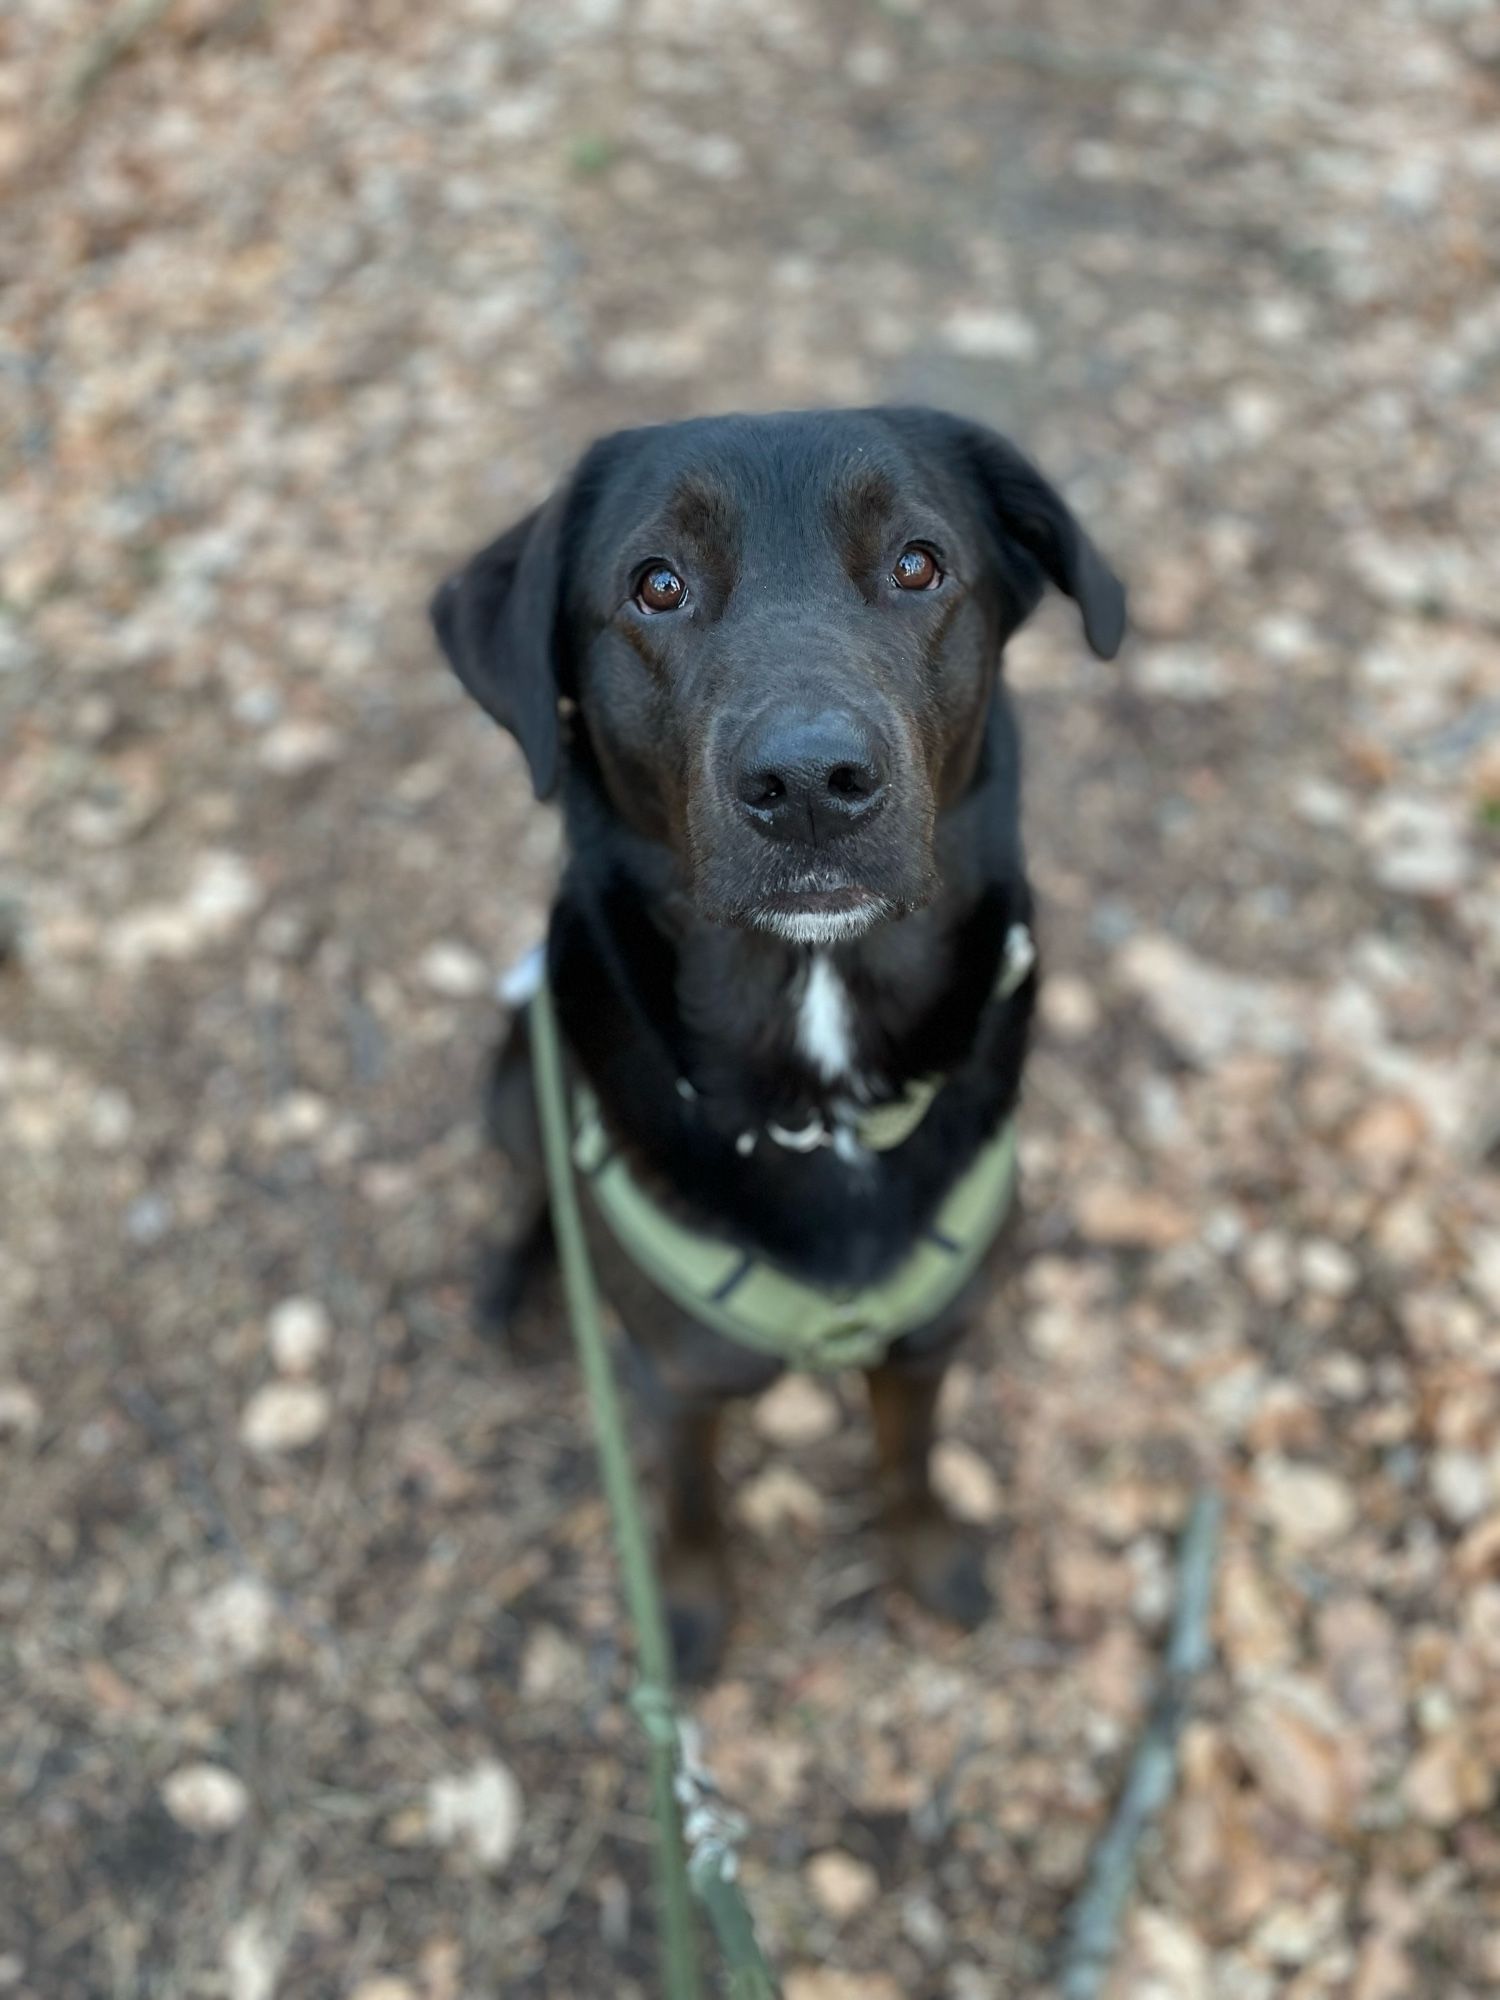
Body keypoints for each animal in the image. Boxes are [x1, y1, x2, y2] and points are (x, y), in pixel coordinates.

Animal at [428, 410, 1120, 1688]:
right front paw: (692, 1619)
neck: (823, 1085)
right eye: (656, 585)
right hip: (511, 1071)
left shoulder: (927, 1343)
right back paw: (516, 1276)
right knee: (532, 1180)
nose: (809, 783)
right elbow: (692, 1504)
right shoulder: (677, 1380)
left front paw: (929, 1557)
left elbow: (908, 1456)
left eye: (918, 563)